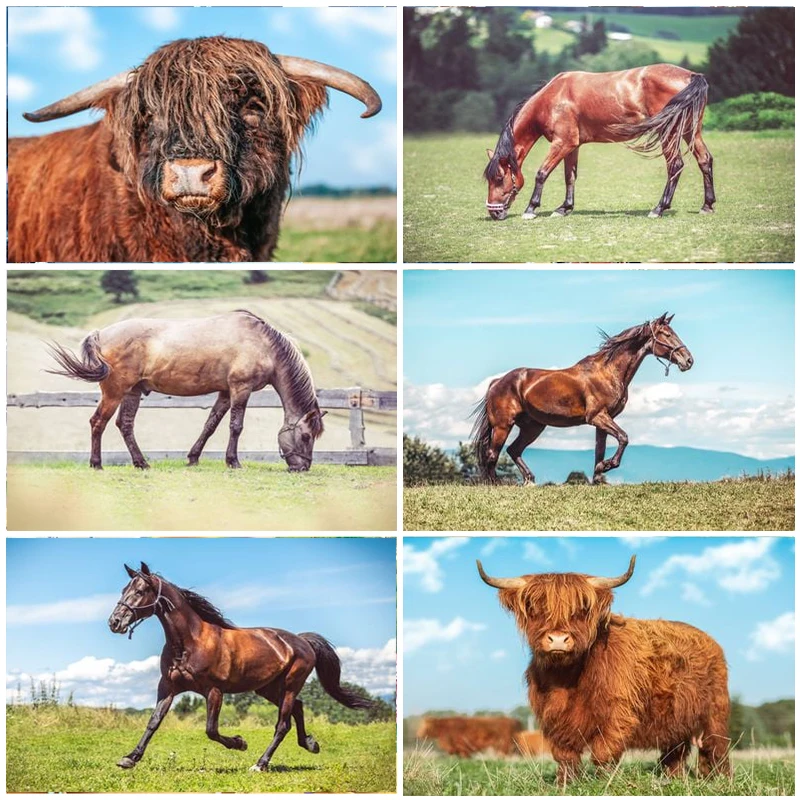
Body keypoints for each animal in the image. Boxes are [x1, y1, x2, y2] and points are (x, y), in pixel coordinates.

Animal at [477, 556, 731, 785]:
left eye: (582, 608)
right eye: (534, 607)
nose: (558, 639)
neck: (567, 679)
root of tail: (710, 640)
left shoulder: (618, 712)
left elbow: (603, 752)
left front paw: (604, 783)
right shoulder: (553, 716)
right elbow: (564, 755)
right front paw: (565, 784)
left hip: (715, 712)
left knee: (716, 747)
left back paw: (720, 780)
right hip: (676, 721)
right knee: (674, 753)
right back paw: (673, 779)